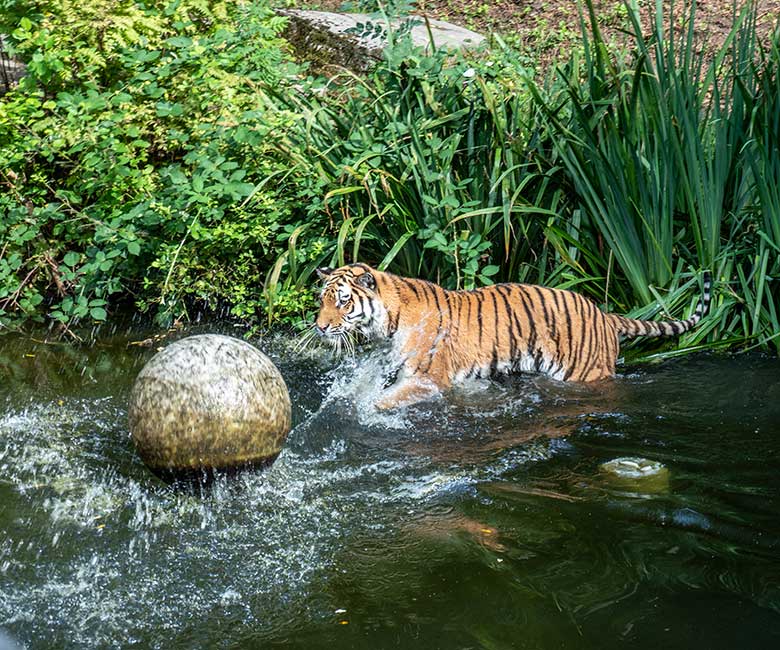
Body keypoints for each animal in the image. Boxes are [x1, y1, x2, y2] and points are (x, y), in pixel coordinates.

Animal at [312, 262, 712, 404]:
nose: (320, 326)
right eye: (322, 300)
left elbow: (384, 401)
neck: (387, 323)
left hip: (585, 372)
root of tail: (606, 315)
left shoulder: (429, 378)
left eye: (344, 301)